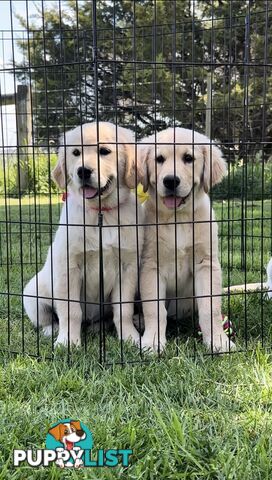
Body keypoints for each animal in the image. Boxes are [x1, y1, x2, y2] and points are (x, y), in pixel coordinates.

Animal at [23, 122, 144, 346]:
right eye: (76, 153)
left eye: (104, 151)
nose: (83, 171)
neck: (101, 213)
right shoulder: (68, 266)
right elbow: (70, 311)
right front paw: (67, 342)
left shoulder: (128, 266)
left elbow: (123, 310)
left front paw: (130, 338)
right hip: (32, 292)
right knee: (44, 319)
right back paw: (52, 330)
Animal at [139, 127, 235, 352]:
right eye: (159, 159)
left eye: (188, 158)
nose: (170, 181)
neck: (178, 218)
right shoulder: (151, 265)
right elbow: (154, 309)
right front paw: (152, 342)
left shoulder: (206, 263)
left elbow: (210, 308)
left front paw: (218, 341)